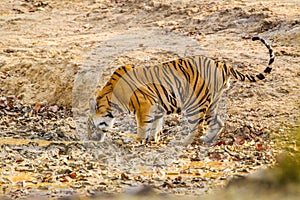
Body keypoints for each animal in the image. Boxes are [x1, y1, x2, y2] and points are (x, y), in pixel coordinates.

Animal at [86, 36, 274, 145]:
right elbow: (155, 124)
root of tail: (221, 64)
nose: (90, 139)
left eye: (90, 125)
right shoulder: (157, 106)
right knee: (218, 123)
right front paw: (153, 138)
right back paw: (206, 140)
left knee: (198, 128)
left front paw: (139, 140)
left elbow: (143, 125)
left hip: (195, 104)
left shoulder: (145, 105)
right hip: (212, 103)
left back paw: (181, 143)